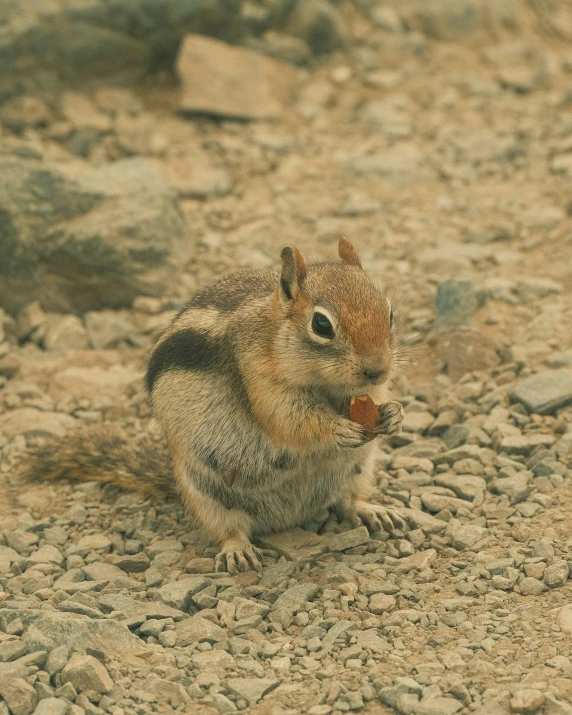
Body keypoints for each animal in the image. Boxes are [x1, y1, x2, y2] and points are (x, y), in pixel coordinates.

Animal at [24, 241, 404, 576]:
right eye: (321, 325)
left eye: (389, 313)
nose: (377, 369)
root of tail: (289, 518)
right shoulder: (260, 379)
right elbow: (287, 420)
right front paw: (337, 427)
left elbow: (378, 399)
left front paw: (394, 413)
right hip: (205, 493)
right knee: (229, 529)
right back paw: (237, 550)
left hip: (357, 470)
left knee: (347, 500)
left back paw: (373, 510)